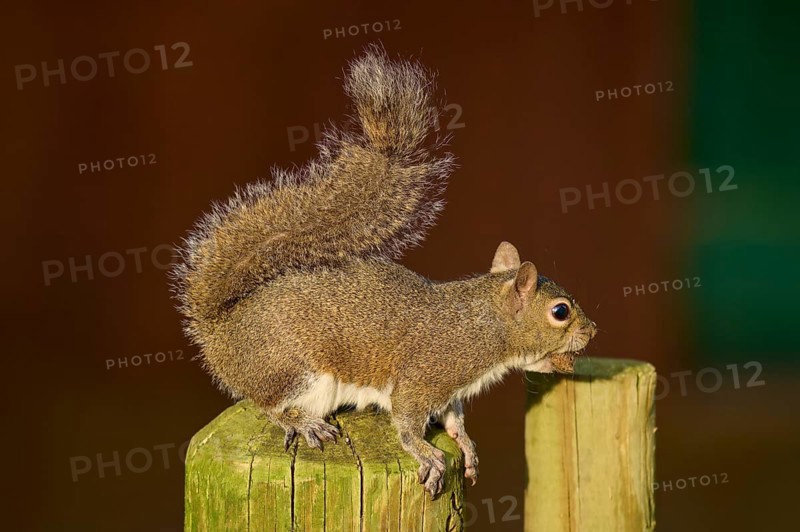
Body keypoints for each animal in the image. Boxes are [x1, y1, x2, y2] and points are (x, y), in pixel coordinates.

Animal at [172, 45, 597, 498]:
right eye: (560, 312)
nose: (592, 331)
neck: (485, 325)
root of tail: (221, 335)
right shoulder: (426, 374)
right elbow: (408, 422)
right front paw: (427, 455)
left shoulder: (450, 390)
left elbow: (453, 418)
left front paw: (465, 445)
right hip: (292, 369)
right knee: (267, 405)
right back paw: (302, 422)